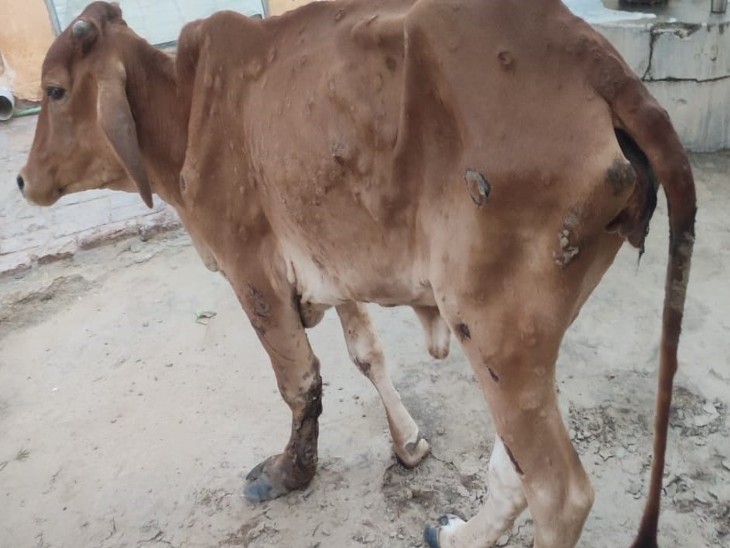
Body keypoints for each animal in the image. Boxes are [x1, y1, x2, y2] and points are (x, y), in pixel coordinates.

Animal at [17, 1, 696, 547]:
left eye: (55, 90)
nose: (22, 180)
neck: (184, 109)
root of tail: (592, 56)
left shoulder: (250, 269)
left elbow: (299, 380)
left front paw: (289, 473)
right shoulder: (330, 260)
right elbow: (366, 352)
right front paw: (409, 442)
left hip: (493, 326)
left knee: (558, 492)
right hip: (522, 337)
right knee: (514, 466)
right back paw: (461, 535)